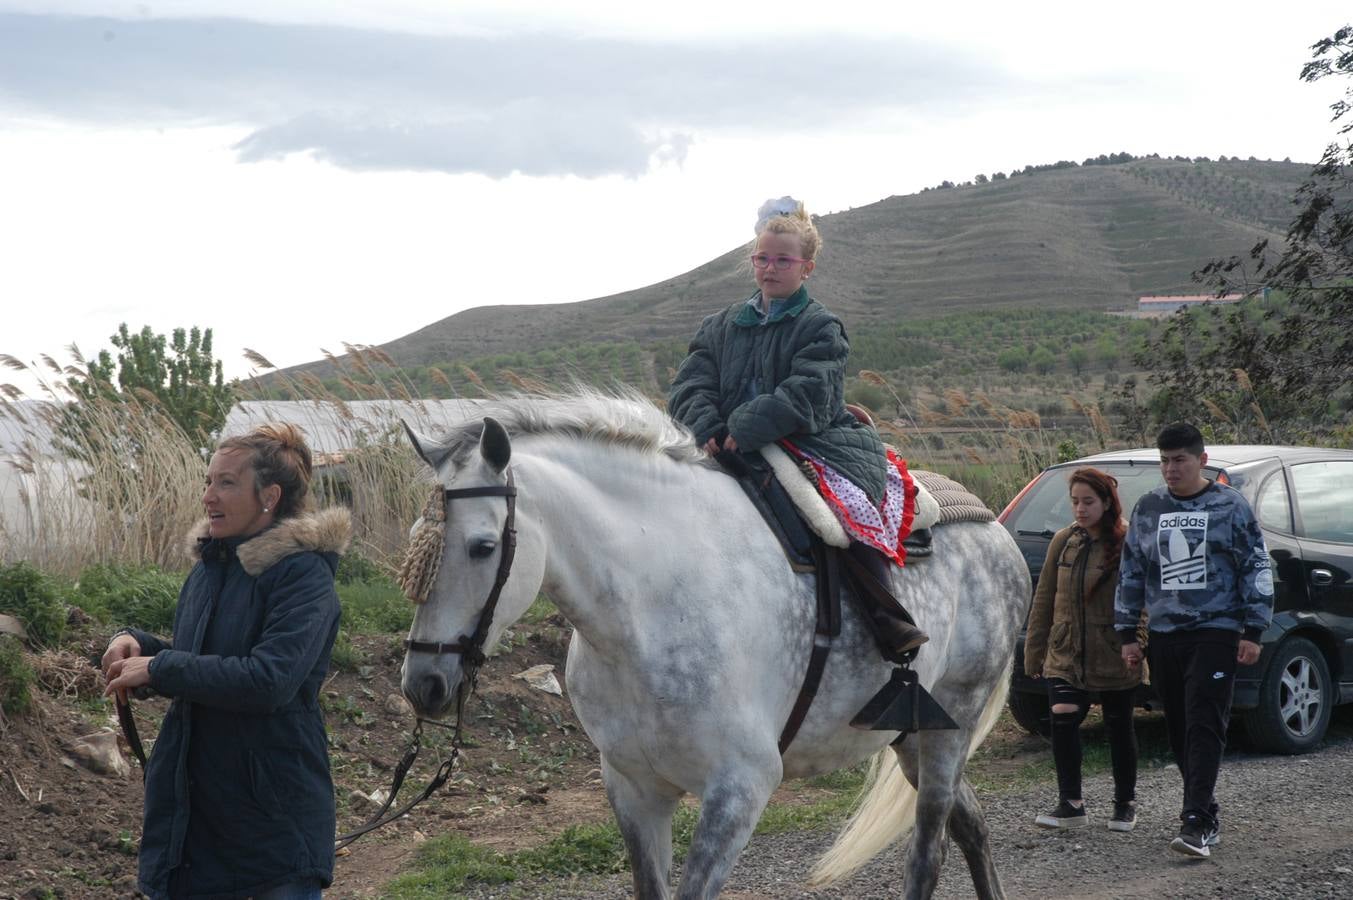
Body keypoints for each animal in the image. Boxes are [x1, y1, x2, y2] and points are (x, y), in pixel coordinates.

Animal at [395, 397, 1028, 898]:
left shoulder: (738, 790)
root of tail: (993, 528)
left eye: (481, 546)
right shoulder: (634, 790)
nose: (423, 684)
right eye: (415, 543)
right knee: (970, 827)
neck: (646, 616)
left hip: (952, 723)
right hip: (912, 734)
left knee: (928, 851)